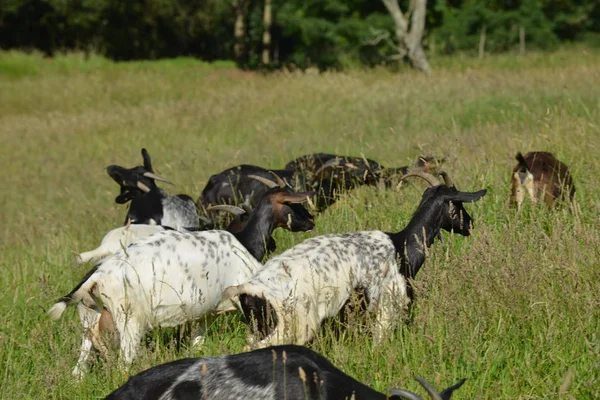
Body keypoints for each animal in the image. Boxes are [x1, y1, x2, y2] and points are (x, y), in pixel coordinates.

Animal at [223, 170, 486, 348]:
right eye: (458, 203)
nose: (470, 225)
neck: (402, 247)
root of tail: (247, 288)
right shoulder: (386, 311)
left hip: (261, 327)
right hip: (290, 327)